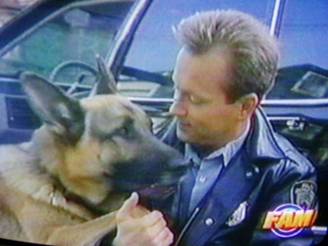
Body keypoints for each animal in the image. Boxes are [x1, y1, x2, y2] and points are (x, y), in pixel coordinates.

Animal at [0, 58, 184, 246]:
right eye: (123, 131)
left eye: (151, 127)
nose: (186, 164)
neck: (56, 178)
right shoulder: (55, 236)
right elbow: (127, 212)